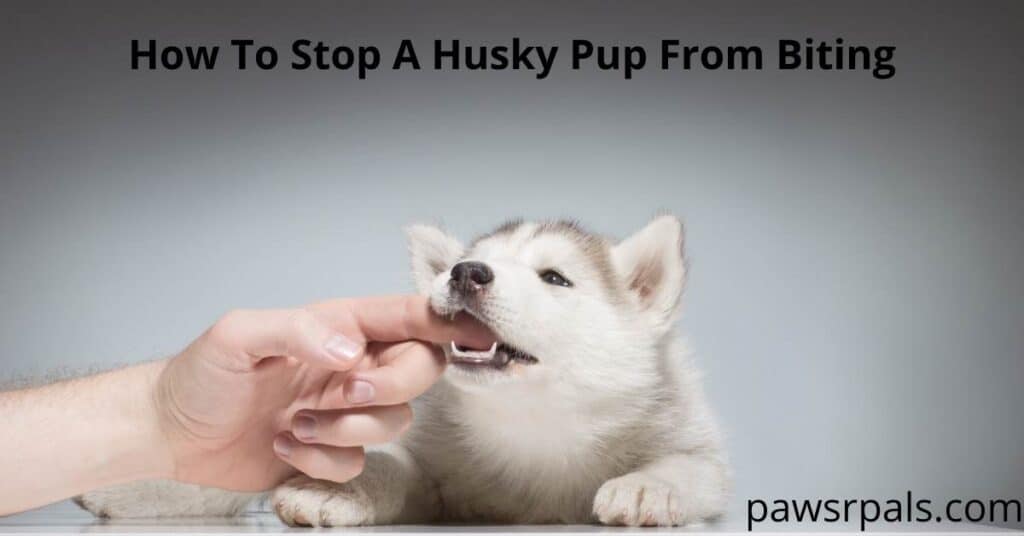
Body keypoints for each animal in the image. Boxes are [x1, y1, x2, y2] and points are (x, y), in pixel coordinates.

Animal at [77, 217, 729, 528]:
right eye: (476, 260)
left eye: (555, 278)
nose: (465, 272)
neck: (536, 426)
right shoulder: (432, 468)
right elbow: (389, 468)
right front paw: (342, 488)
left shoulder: (692, 440)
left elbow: (688, 467)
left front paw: (649, 486)